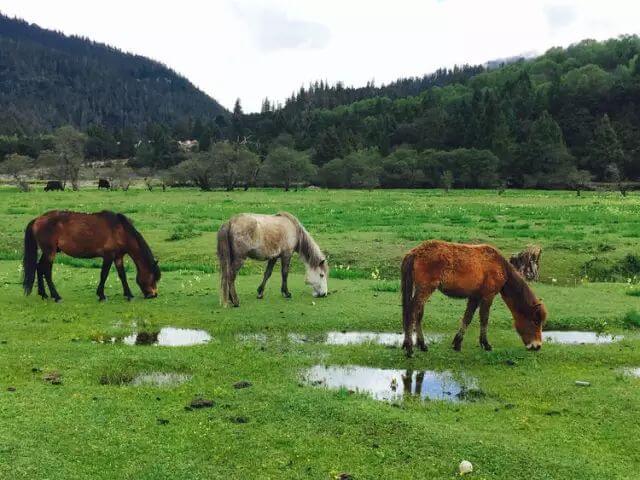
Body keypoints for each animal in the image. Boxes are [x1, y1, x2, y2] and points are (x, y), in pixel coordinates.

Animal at [22, 211, 160, 302]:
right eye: (153, 277)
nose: (153, 294)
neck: (120, 230)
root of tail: (37, 219)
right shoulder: (108, 256)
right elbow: (104, 274)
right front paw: (101, 295)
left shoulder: (118, 257)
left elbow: (122, 275)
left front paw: (128, 294)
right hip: (50, 252)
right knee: (46, 271)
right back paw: (56, 296)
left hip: (47, 252)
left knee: (39, 268)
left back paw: (44, 294)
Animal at [400, 240, 544, 356]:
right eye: (535, 321)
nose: (537, 346)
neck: (498, 265)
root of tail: (415, 252)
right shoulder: (488, 296)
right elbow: (484, 319)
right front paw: (485, 344)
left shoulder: (475, 297)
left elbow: (467, 318)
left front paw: (457, 343)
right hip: (425, 289)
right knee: (411, 311)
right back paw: (409, 348)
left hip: (422, 290)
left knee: (418, 313)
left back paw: (422, 345)